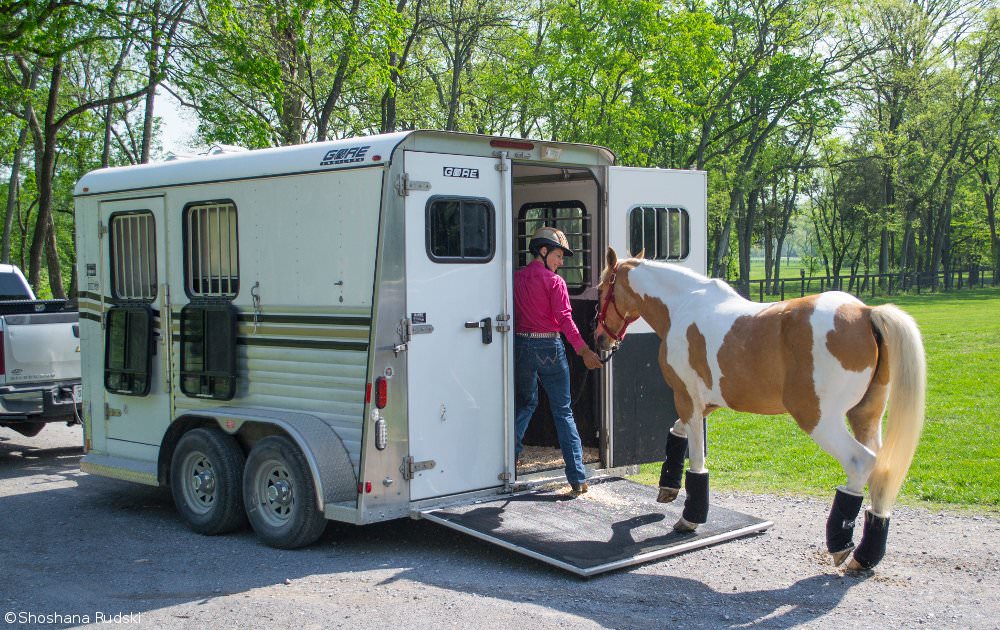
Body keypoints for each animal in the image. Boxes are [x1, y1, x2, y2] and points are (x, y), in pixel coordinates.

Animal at [588, 251, 924, 572]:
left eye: (602, 289)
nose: (600, 339)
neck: (681, 305)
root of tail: (866, 313)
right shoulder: (705, 403)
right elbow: (676, 432)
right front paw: (667, 488)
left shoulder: (687, 398)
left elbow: (695, 458)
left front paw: (690, 518)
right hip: (865, 417)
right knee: (883, 471)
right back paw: (865, 557)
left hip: (819, 420)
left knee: (860, 463)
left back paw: (840, 545)